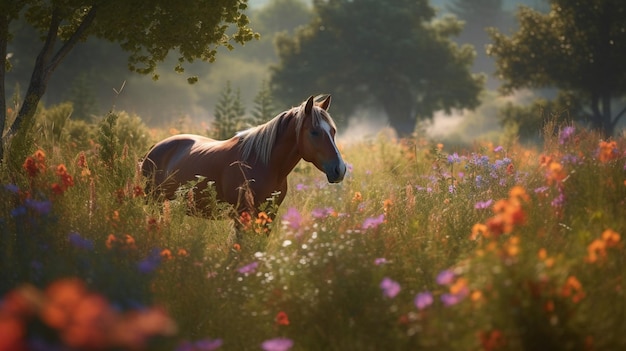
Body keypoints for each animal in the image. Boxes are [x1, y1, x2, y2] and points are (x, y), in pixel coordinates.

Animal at [141, 95, 346, 224]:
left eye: (333, 131)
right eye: (314, 132)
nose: (340, 169)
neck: (263, 164)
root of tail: (155, 147)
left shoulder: (268, 215)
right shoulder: (242, 214)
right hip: (154, 202)